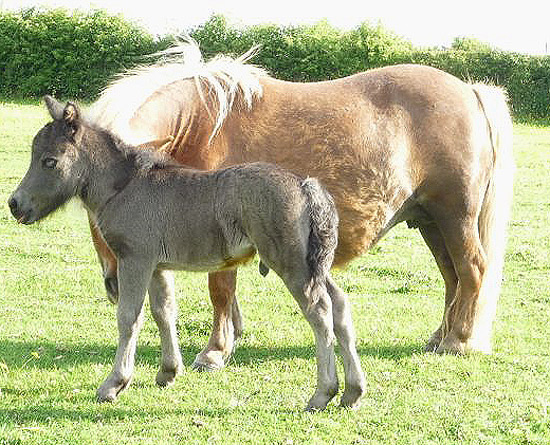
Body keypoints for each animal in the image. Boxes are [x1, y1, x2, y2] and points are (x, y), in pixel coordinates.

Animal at [88, 41, 516, 370]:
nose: (115, 285)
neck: (200, 124)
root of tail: (470, 92)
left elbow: (220, 289)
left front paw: (214, 351)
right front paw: (231, 337)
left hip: (456, 217)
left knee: (472, 271)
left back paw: (457, 340)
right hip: (430, 221)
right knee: (452, 278)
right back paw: (440, 336)